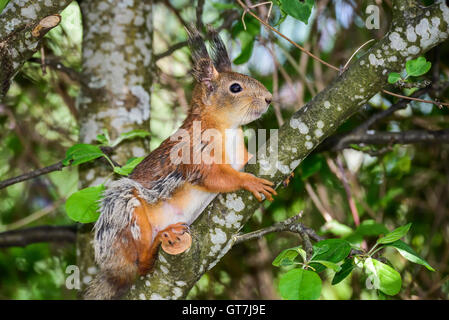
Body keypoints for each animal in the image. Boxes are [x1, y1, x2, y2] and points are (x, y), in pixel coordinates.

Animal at [82, 26, 274, 300]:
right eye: (235, 87)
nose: (269, 98)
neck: (228, 129)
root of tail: (110, 269)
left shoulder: (241, 155)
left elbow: (246, 161)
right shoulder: (193, 155)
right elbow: (215, 176)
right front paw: (249, 181)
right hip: (123, 214)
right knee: (138, 265)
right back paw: (156, 244)